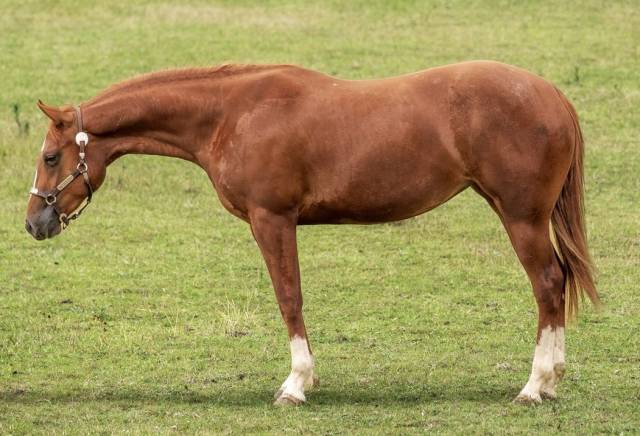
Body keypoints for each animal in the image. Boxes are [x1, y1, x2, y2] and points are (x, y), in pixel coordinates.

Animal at [25, 61, 598, 405]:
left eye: (51, 157)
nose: (34, 222)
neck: (231, 114)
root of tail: (551, 96)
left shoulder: (272, 219)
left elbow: (289, 297)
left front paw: (296, 384)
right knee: (558, 283)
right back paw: (552, 379)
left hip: (521, 218)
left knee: (548, 284)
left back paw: (535, 385)